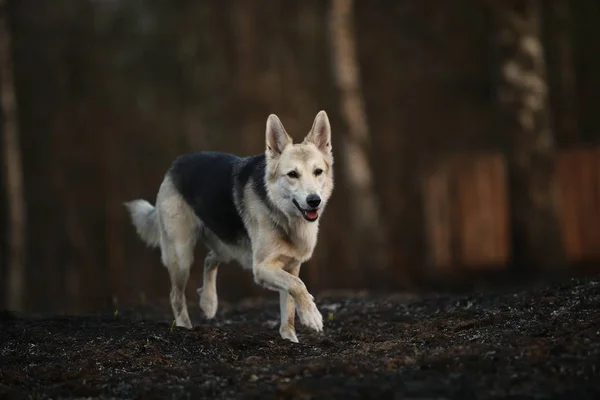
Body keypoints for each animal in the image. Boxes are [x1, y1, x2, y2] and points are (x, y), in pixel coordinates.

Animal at [125, 111, 336, 342]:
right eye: (292, 174)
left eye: (318, 172)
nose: (314, 200)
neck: (283, 214)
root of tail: (176, 164)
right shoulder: (262, 268)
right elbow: (298, 286)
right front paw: (312, 316)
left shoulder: (290, 266)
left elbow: (288, 306)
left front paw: (290, 339)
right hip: (181, 256)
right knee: (176, 296)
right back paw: (185, 327)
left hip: (225, 247)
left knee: (210, 259)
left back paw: (208, 302)